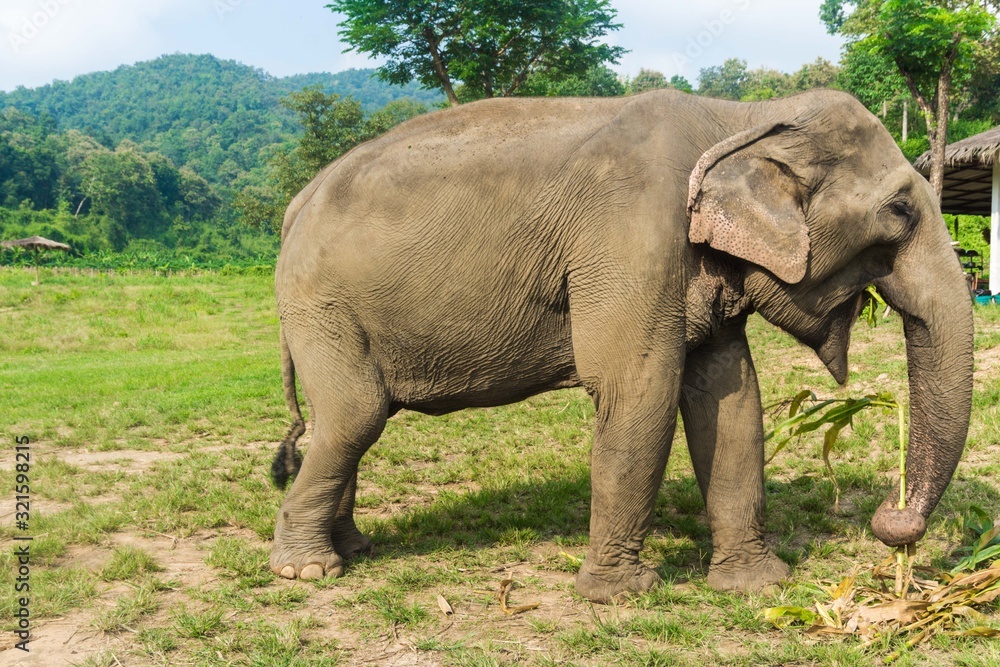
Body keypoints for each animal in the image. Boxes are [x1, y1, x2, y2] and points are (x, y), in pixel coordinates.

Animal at [270, 88, 972, 604]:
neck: (739, 117)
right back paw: (306, 572)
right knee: (356, 416)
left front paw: (755, 585)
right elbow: (639, 393)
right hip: (321, 306)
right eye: (901, 210)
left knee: (347, 422)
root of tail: (296, 203)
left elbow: (731, 400)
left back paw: (351, 550)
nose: (892, 525)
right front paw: (620, 595)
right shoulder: (632, 239)